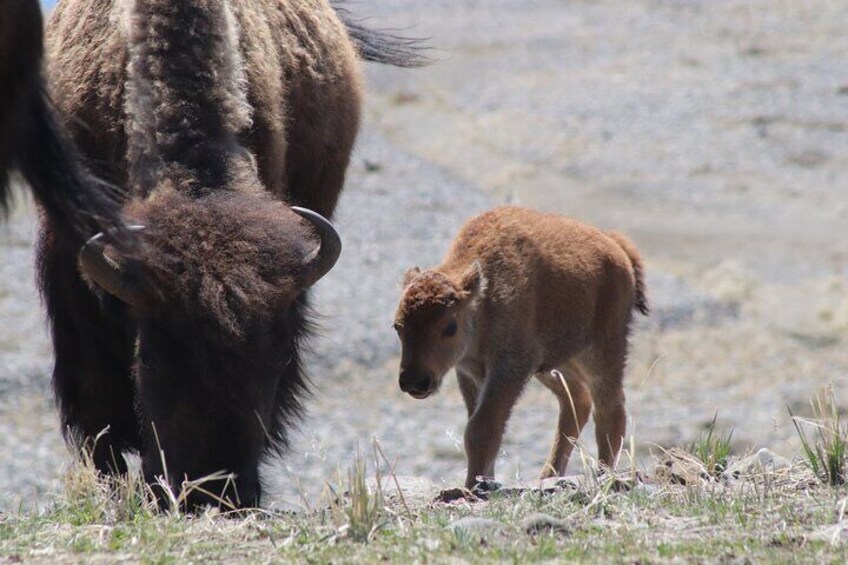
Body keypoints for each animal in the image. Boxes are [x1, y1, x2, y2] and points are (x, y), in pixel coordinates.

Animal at [394, 205, 644, 486]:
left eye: (450, 327)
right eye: (398, 327)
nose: (414, 381)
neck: (482, 301)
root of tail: (616, 247)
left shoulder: (510, 367)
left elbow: (481, 429)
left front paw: (473, 487)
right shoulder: (470, 372)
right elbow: (478, 428)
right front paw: (481, 481)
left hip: (602, 353)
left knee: (609, 410)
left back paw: (602, 475)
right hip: (554, 365)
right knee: (577, 402)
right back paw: (548, 475)